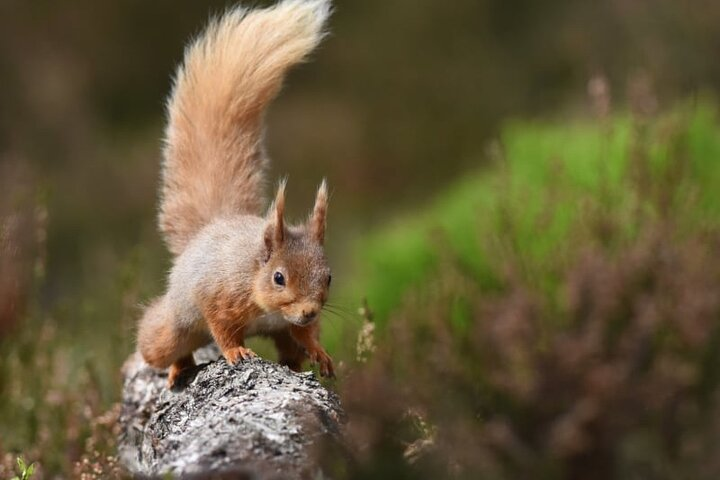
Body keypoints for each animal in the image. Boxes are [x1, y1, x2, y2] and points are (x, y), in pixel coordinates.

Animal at [137, 0, 335, 388]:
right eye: (278, 277)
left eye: (329, 276)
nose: (308, 311)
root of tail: (206, 230)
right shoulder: (219, 295)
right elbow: (222, 327)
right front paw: (236, 352)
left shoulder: (292, 325)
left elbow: (305, 336)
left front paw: (320, 352)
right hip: (176, 323)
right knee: (164, 343)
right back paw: (177, 368)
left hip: (280, 335)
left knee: (289, 349)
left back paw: (295, 366)